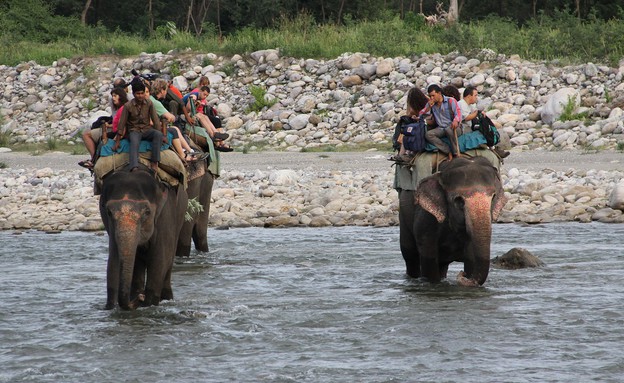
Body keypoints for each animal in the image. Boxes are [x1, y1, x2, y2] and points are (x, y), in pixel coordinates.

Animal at [98, 166, 188, 310]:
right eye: (109, 212)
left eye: (147, 212)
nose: (140, 298)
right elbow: (113, 260)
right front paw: (111, 307)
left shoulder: (165, 215)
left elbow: (159, 260)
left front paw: (148, 304)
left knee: (168, 260)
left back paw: (166, 298)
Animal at [400, 155, 508, 284]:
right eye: (459, 201)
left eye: (493, 198)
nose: (462, 274)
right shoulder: (425, 216)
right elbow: (428, 256)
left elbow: (471, 256)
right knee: (410, 257)